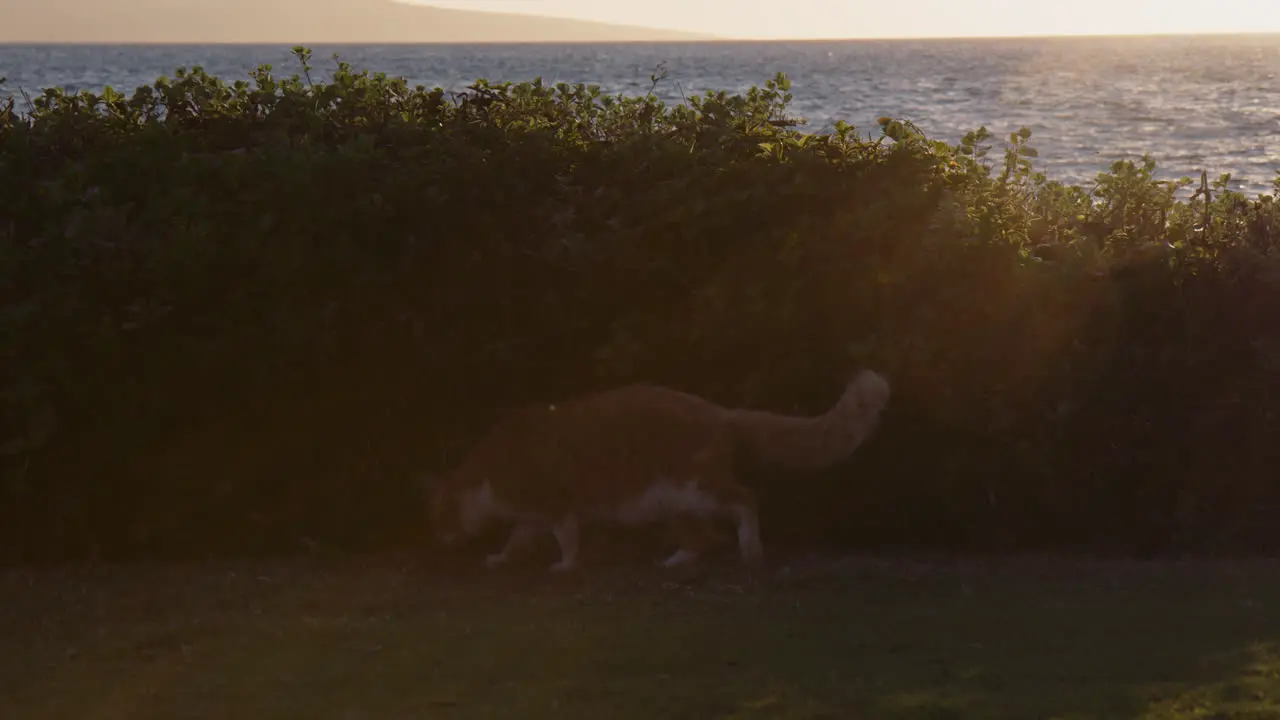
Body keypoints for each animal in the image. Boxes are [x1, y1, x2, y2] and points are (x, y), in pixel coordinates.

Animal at [427, 366, 890, 568]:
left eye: (441, 516)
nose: (440, 539)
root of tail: (718, 410)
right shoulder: (531, 516)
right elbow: (516, 540)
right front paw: (499, 557)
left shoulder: (557, 504)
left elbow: (567, 537)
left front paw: (565, 564)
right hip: (675, 503)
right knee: (703, 538)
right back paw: (678, 559)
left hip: (696, 488)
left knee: (744, 501)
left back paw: (750, 549)